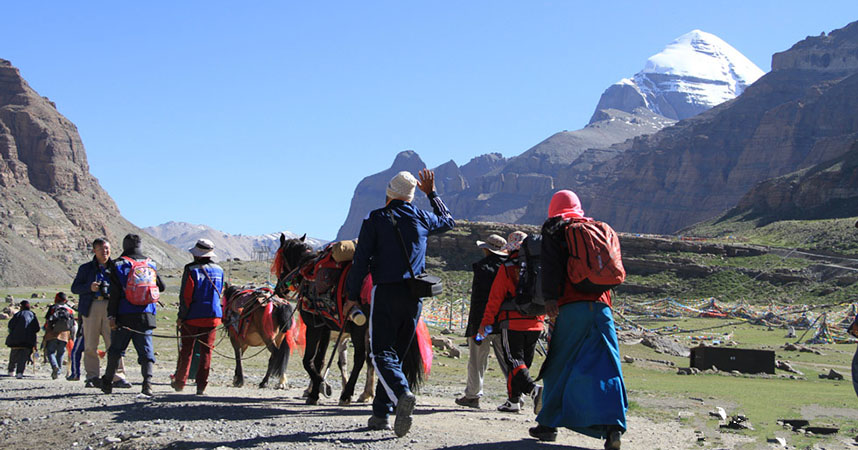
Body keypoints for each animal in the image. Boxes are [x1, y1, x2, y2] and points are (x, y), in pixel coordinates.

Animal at [270, 234, 424, 406]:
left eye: (280, 261)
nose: (279, 290)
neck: (309, 272)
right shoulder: (326, 328)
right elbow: (320, 361)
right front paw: (316, 391)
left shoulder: (314, 326)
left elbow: (308, 360)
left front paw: (319, 388)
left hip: (360, 329)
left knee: (361, 359)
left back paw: (348, 394)